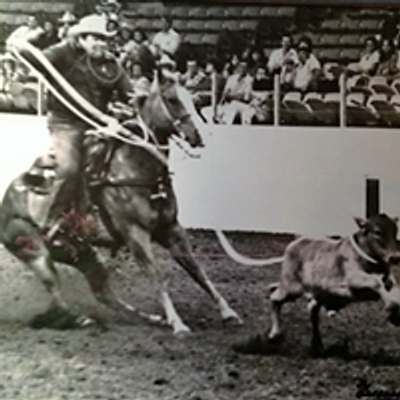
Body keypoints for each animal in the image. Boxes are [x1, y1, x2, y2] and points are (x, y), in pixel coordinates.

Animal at [268, 214, 400, 354]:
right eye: (377, 232)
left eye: (395, 231)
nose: (395, 257)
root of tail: (297, 242)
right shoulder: (352, 279)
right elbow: (375, 282)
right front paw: (391, 306)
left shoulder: (388, 280)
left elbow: (394, 287)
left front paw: (395, 314)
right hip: (291, 287)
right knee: (274, 298)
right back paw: (275, 334)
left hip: (320, 294)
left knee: (312, 310)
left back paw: (317, 345)